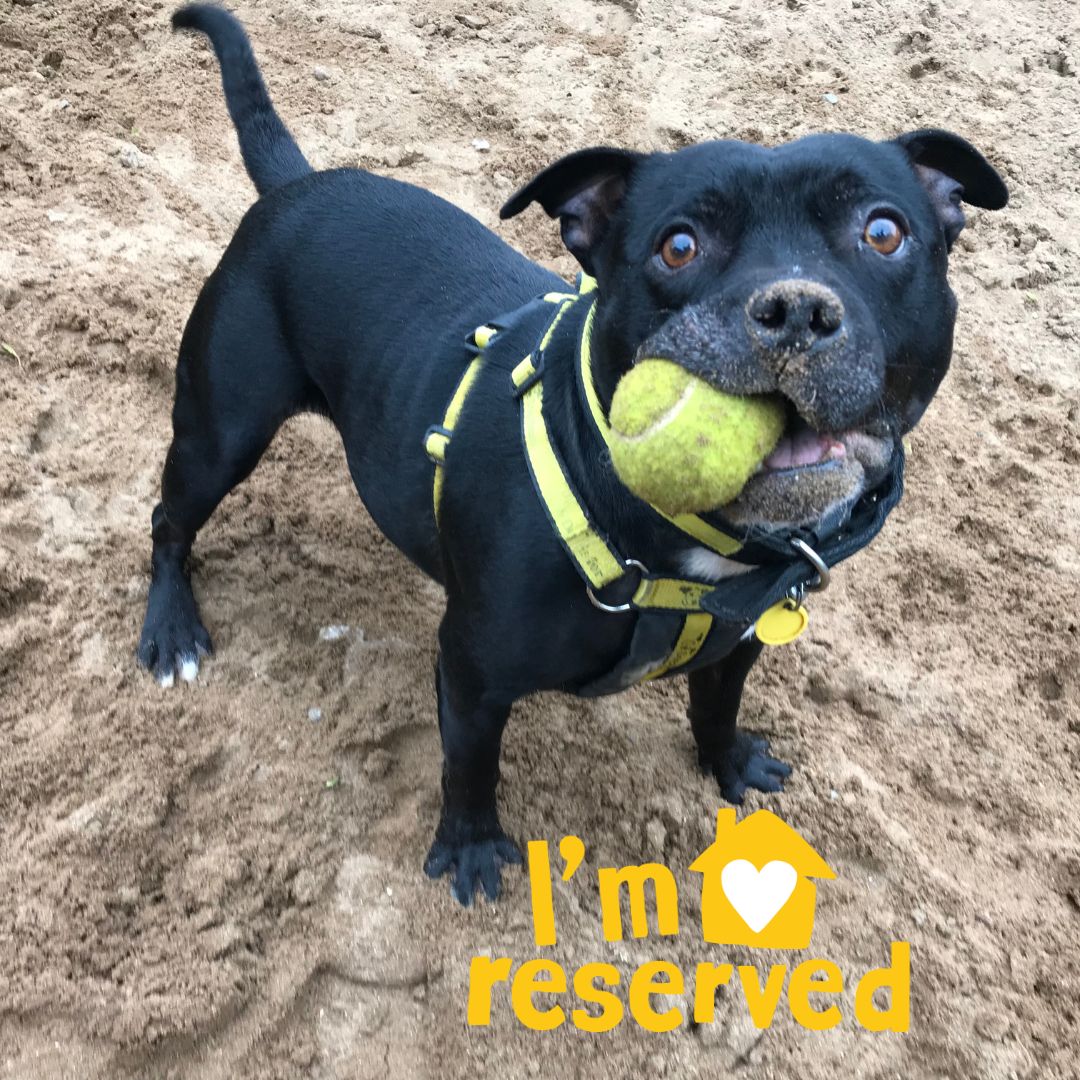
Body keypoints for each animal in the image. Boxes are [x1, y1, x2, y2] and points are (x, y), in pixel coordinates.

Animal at [139, 6, 1006, 902]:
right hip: (220, 432)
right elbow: (469, 767)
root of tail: (297, 187)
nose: (795, 308)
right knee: (170, 520)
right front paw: (472, 848)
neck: (684, 543)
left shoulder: (743, 638)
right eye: (678, 246)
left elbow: (716, 705)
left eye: (884, 232)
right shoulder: (472, 672)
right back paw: (172, 631)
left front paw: (730, 764)